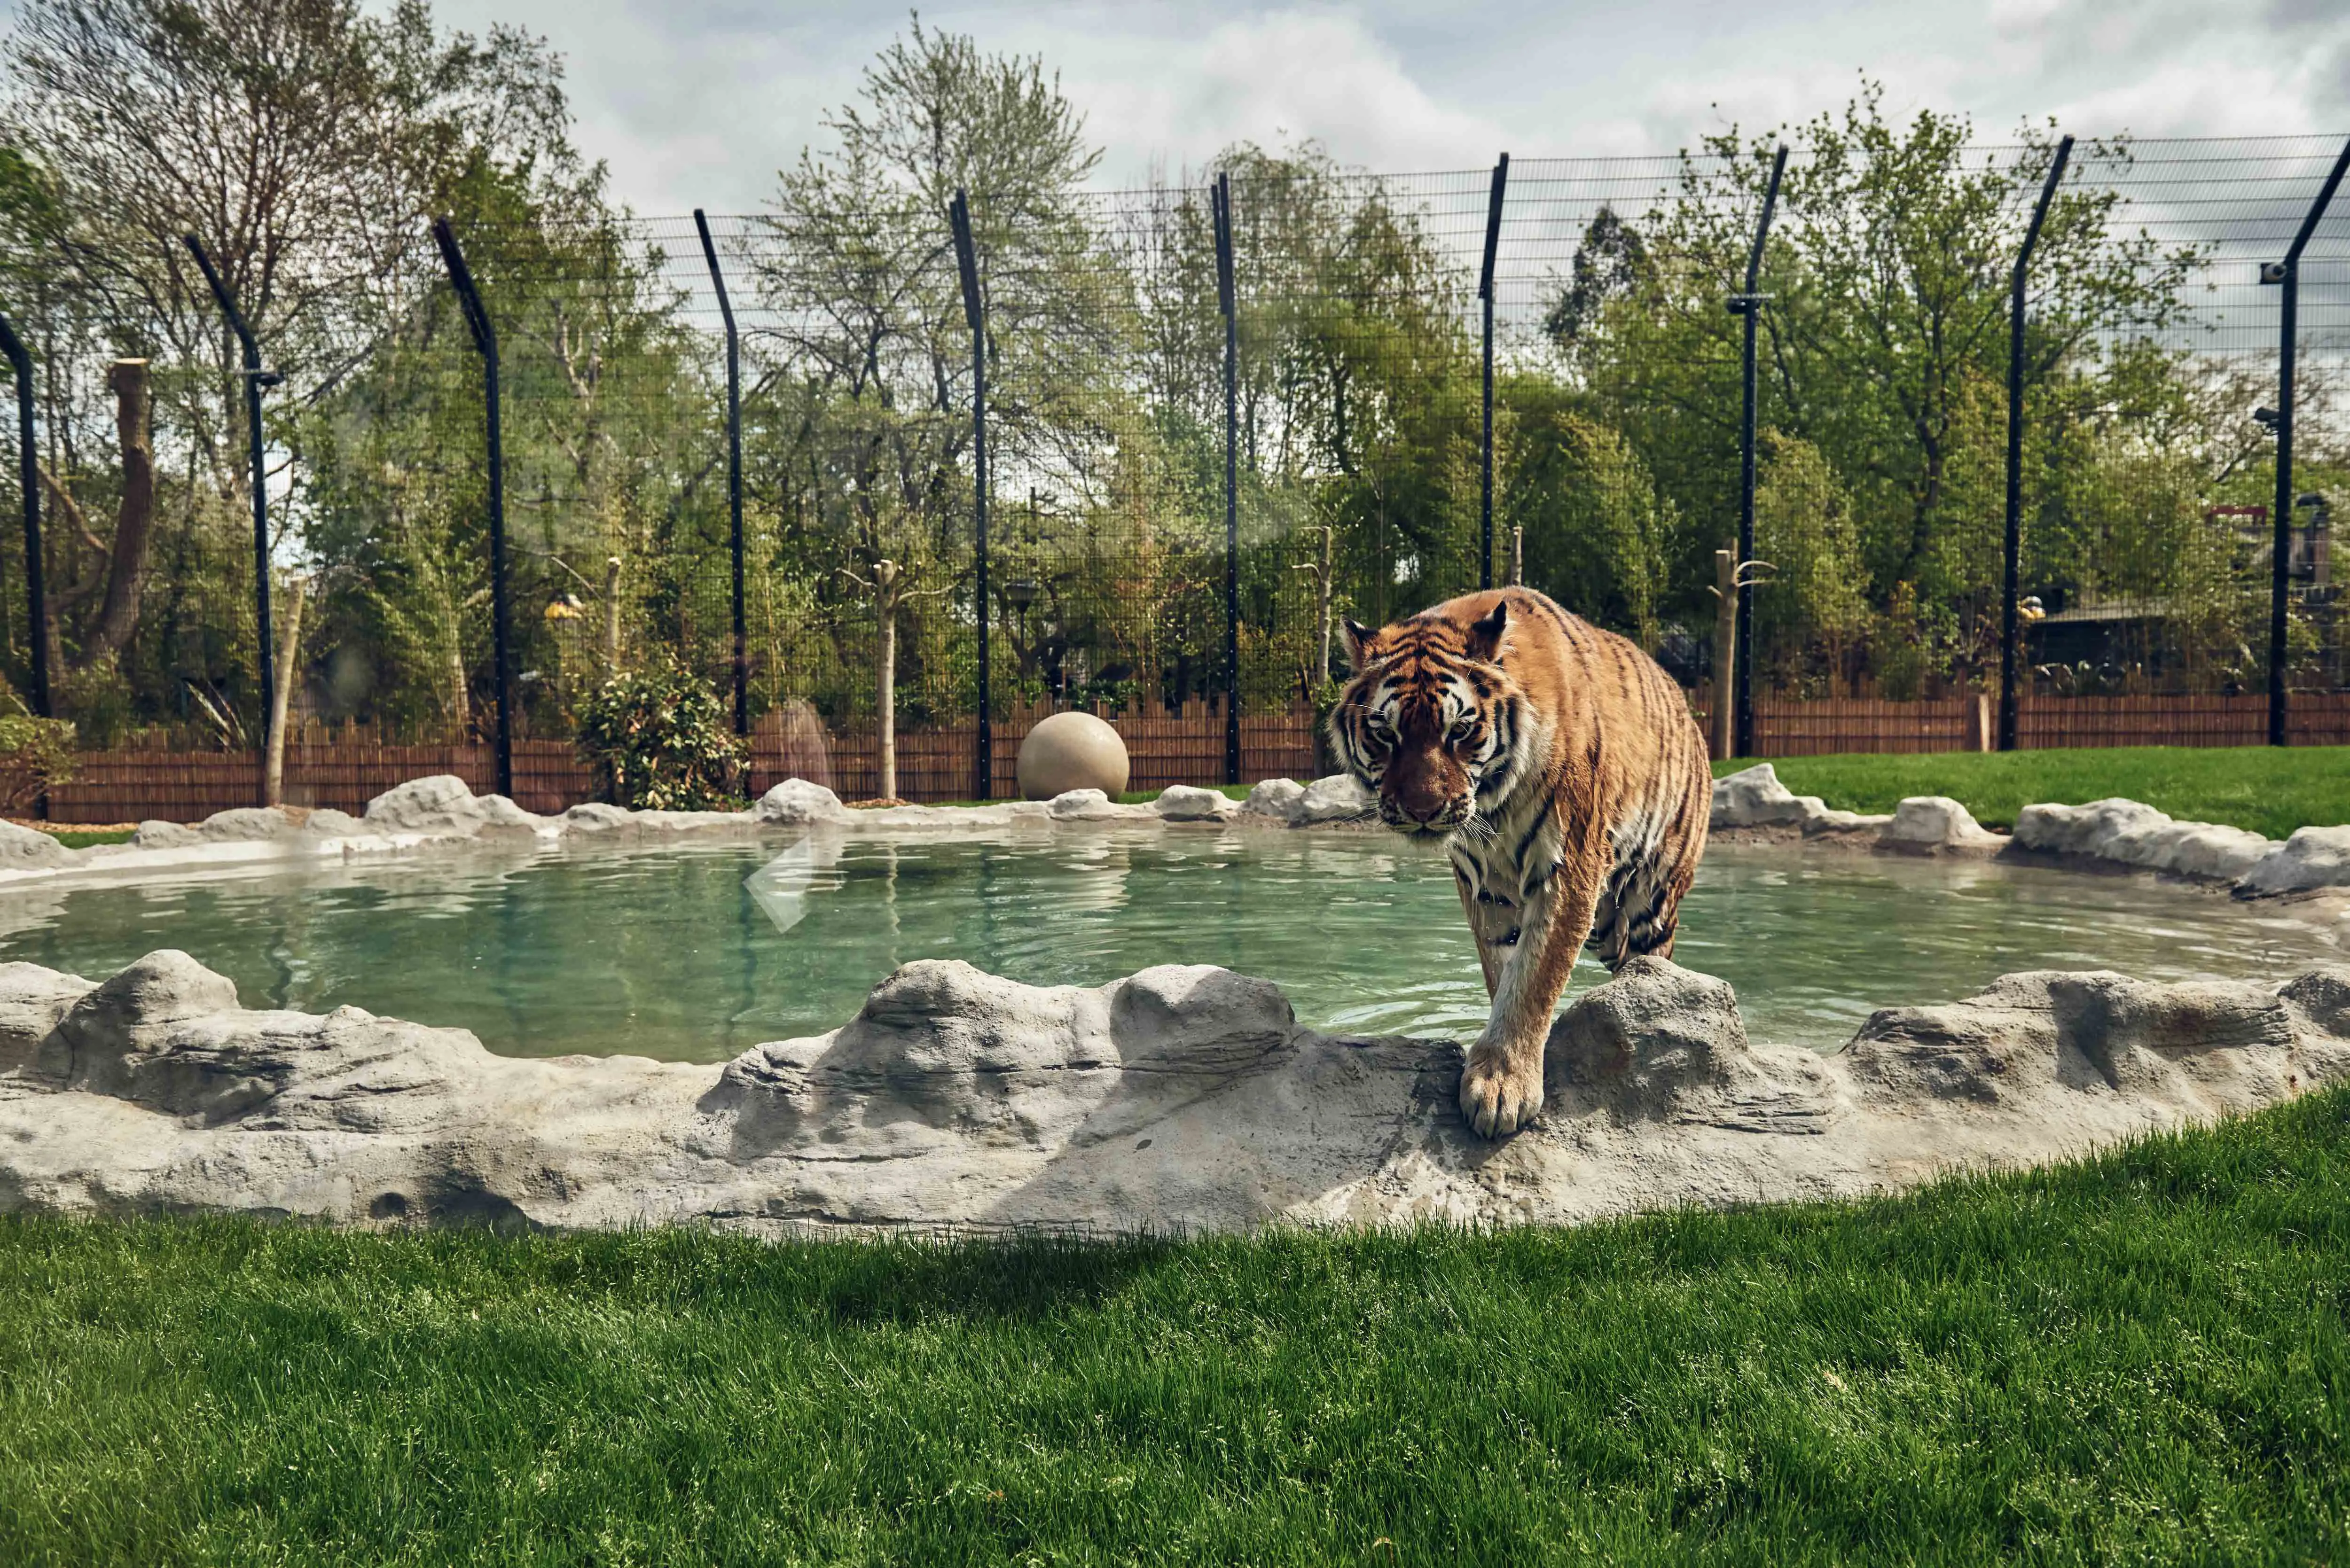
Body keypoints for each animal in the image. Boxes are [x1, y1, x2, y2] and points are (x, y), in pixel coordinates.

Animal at [1329, 587, 1712, 1138]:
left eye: (1460, 730)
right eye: (1386, 733)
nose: (1422, 810)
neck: (1494, 805)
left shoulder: (1569, 869)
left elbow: (1534, 979)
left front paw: (1502, 1088)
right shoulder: (1487, 886)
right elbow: (1505, 971)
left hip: (1650, 900)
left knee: (1652, 957)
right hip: (1607, 921)